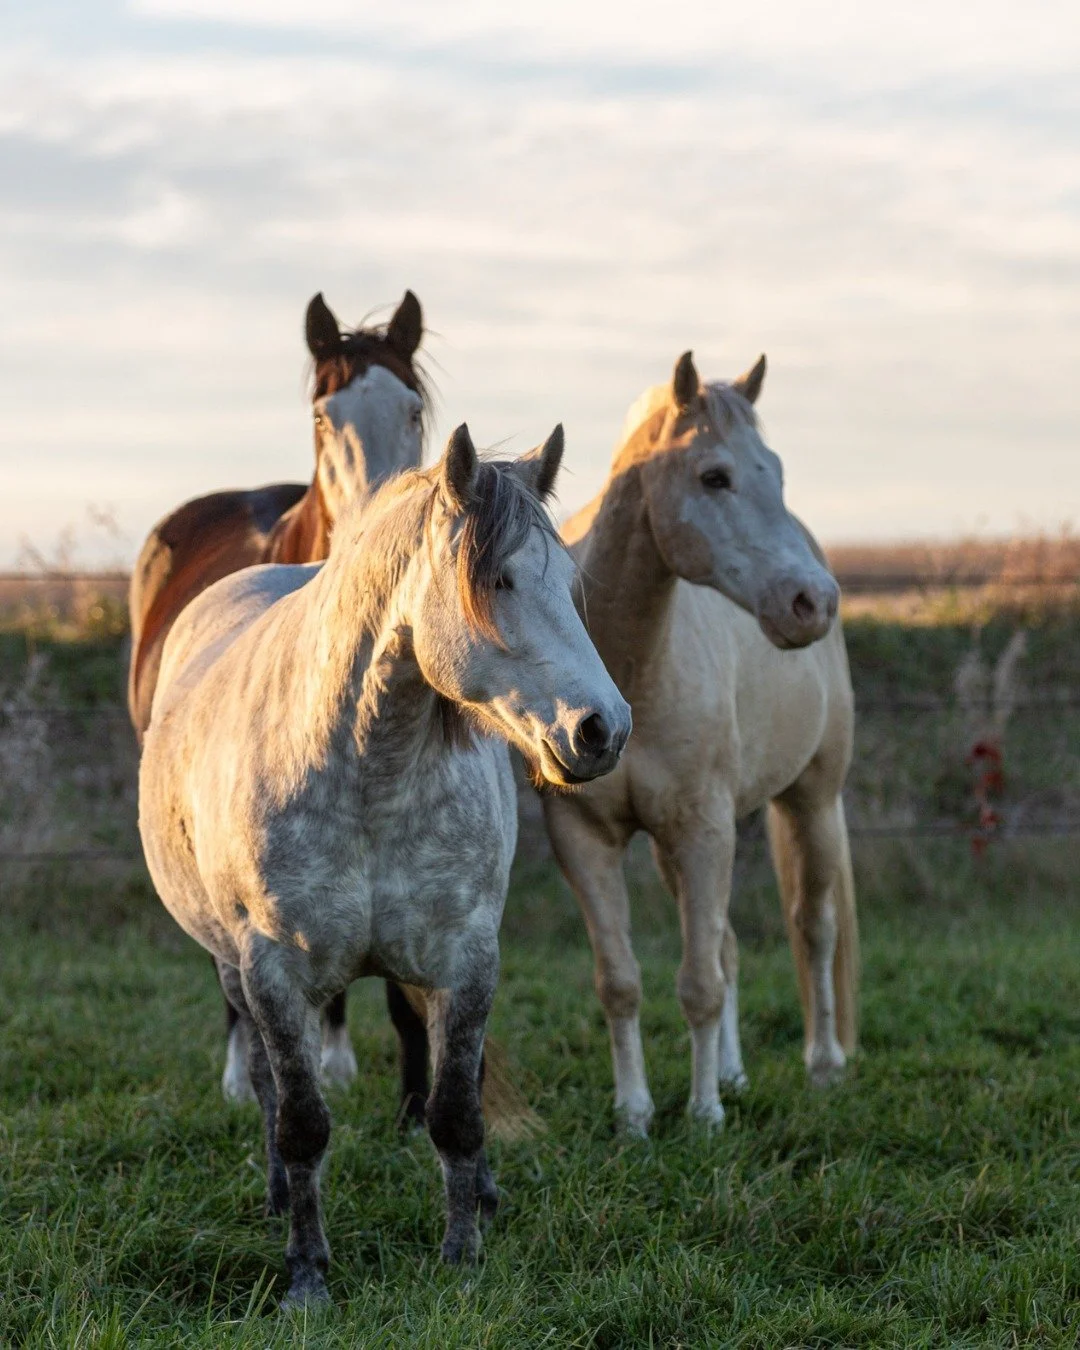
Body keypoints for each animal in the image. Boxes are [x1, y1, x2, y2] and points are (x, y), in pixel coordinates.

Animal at [138, 424, 632, 1306]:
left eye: (567, 583)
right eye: (498, 580)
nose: (602, 729)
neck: (367, 771)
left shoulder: (464, 959)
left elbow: (455, 1110)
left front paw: (464, 1258)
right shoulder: (272, 974)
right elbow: (300, 1121)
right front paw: (306, 1275)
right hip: (233, 967)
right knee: (264, 1084)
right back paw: (275, 1196)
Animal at [541, 351, 858, 1135]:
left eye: (775, 470)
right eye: (715, 476)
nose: (811, 603)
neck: (629, 670)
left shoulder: (704, 829)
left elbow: (699, 984)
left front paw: (704, 1112)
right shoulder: (585, 839)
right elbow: (622, 982)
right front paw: (635, 1113)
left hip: (811, 803)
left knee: (814, 929)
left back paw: (824, 1065)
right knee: (730, 945)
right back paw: (737, 1073)